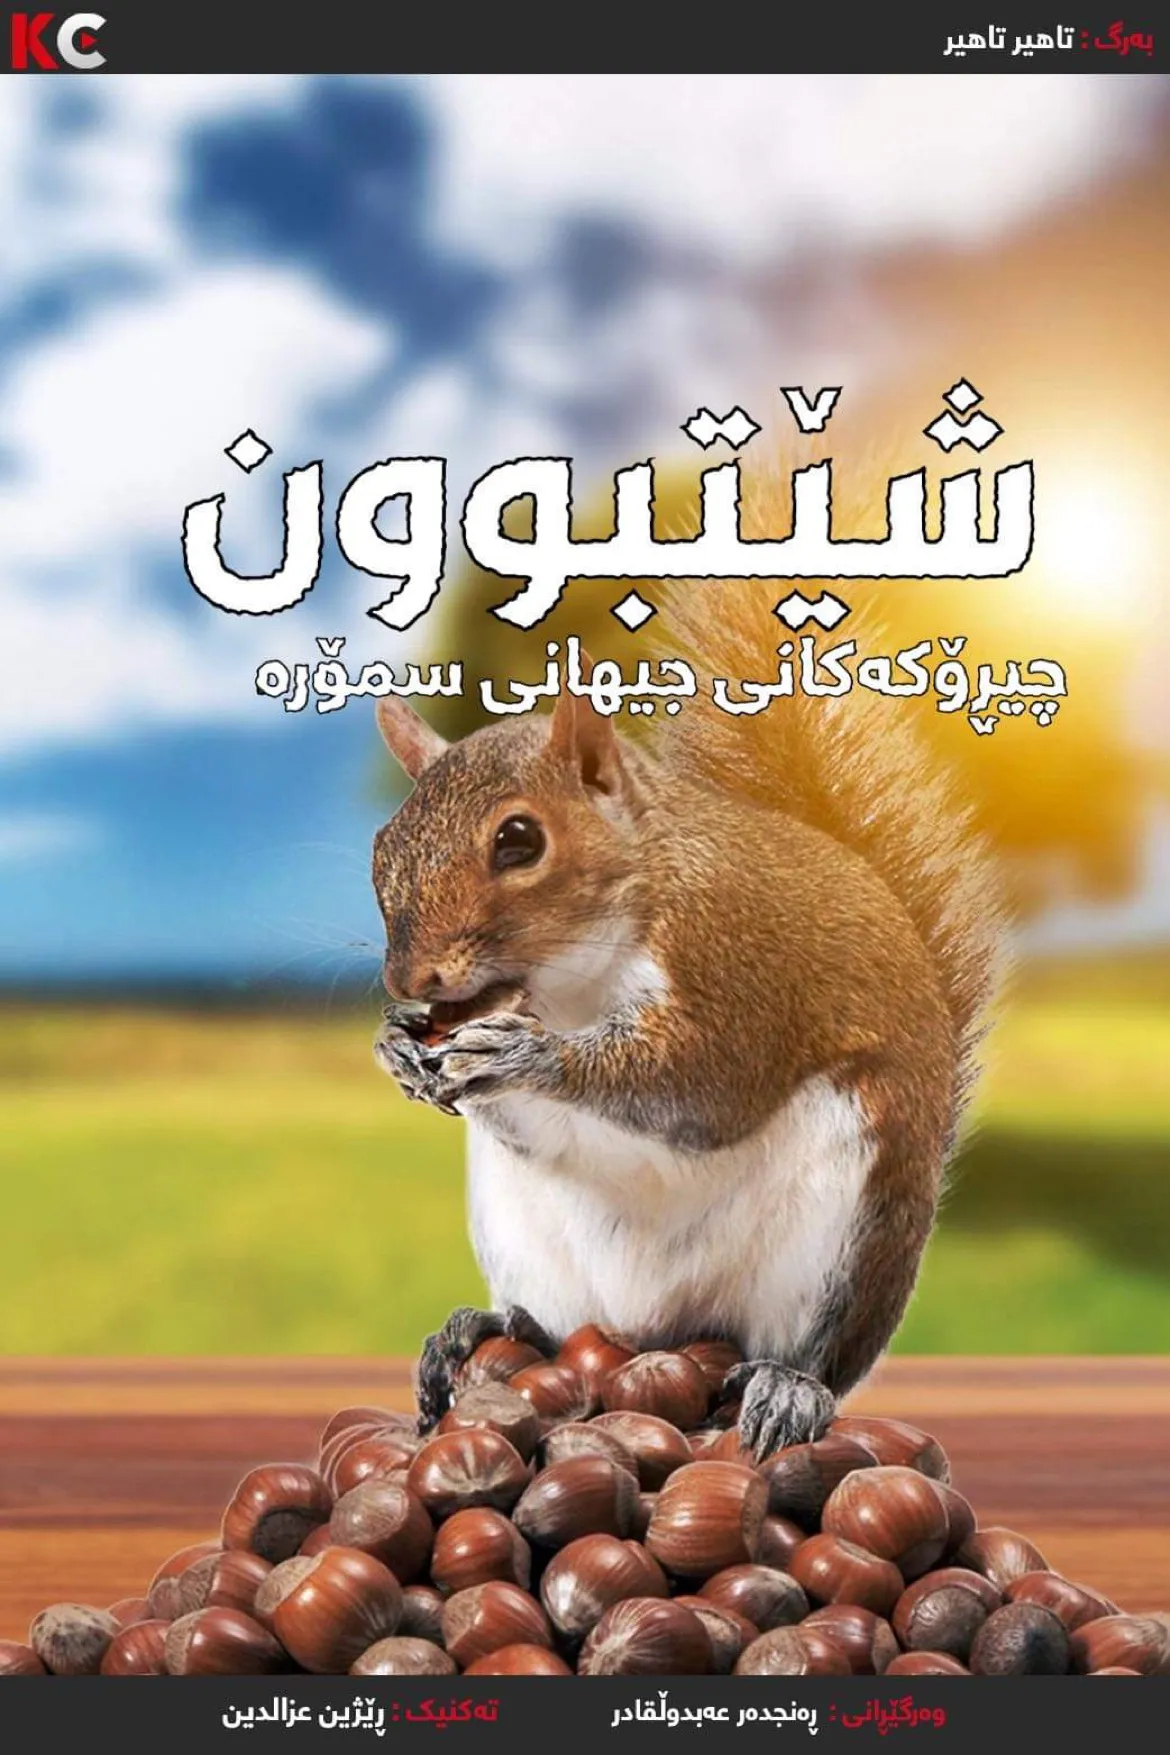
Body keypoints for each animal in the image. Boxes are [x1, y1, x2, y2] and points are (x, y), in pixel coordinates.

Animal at [370, 567, 1004, 1456]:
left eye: (520, 840)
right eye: (382, 848)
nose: (406, 979)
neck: (571, 983)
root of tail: (653, 1331)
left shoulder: (740, 965)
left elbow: (701, 1084)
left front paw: (528, 1056)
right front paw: (398, 1048)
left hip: (845, 1235)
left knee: (813, 1353)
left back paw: (788, 1389)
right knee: (552, 1329)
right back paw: (482, 1331)